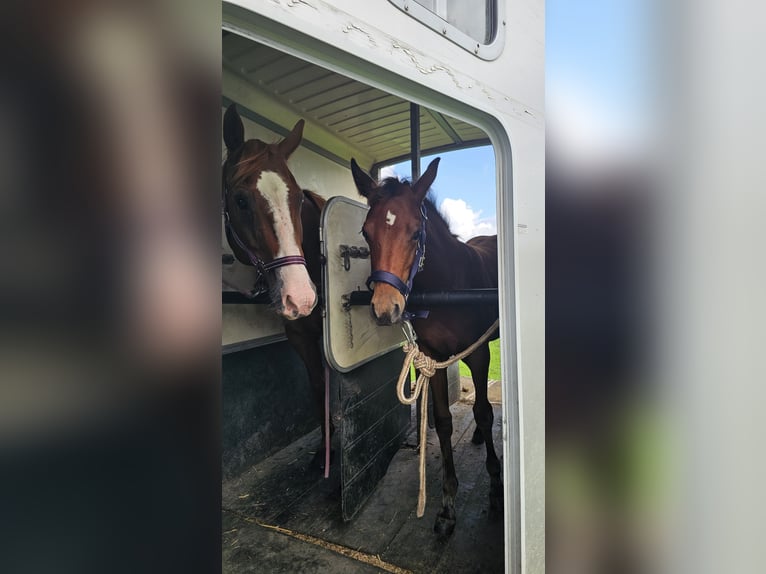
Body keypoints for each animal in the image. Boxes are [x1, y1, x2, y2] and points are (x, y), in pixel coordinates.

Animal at [222, 103, 331, 469]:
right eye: (240, 201)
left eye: (297, 199)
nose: (301, 297)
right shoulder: (300, 335)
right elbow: (318, 386)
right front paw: (322, 454)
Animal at [350, 156, 502, 536]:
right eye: (366, 233)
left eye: (416, 233)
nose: (385, 309)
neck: (448, 286)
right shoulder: (434, 359)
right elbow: (444, 421)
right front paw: (447, 505)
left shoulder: (480, 355)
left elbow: (483, 411)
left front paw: (496, 489)